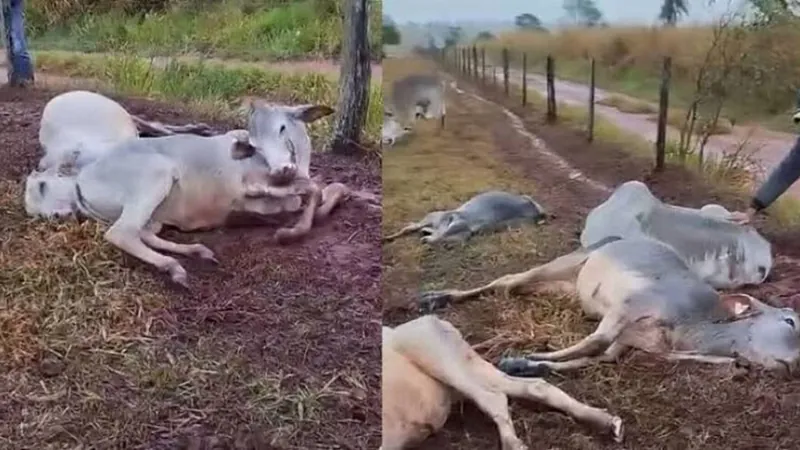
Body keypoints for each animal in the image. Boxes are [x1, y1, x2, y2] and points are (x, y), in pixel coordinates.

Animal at [382, 312, 624, 450]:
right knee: (532, 386)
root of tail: (436, 320)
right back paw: (607, 421)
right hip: (468, 366)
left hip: (435, 354)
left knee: (493, 397)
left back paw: (513, 444)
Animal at [418, 237, 800, 374]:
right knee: (506, 282)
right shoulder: (630, 305)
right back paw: (436, 296)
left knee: (515, 288)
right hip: (565, 263)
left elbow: (598, 358)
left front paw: (528, 364)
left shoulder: (628, 342)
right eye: (791, 321)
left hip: (563, 286)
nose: (794, 367)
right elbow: (594, 342)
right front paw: (526, 356)